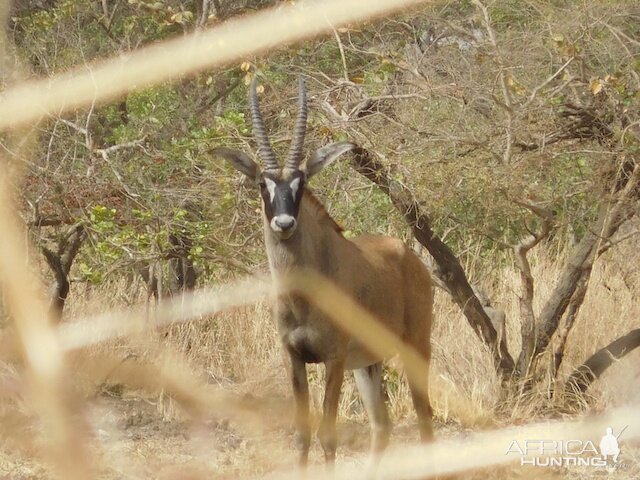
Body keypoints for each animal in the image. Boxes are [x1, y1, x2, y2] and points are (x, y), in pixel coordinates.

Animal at [215, 78, 436, 468]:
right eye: (262, 184)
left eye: (300, 183)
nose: (284, 224)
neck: (302, 297)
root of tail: (410, 257)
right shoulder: (294, 359)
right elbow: (302, 435)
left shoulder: (333, 360)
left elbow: (327, 436)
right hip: (368, 363)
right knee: (382, 424)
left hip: (416, 347)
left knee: (424, 418)